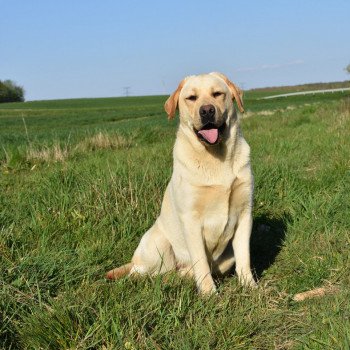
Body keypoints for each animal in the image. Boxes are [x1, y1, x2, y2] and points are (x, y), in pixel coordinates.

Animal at [105, 72, 256, 294]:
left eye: (217, 94)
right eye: (191, 98)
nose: (207, 110)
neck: (215, 157)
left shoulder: (245, 213)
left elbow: (244, 257)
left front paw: (250, 286)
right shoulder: (191, 220)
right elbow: (201, 261)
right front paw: (209, 293)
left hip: (224, 259)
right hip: (159, 243)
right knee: (141, 274)